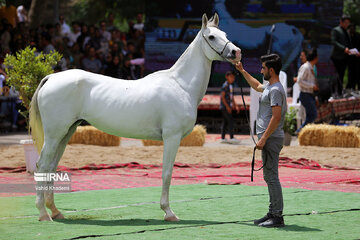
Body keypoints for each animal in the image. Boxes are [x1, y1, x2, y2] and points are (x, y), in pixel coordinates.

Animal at [29, 14, 240, 222]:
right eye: (211, 36)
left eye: (224, 34)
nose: (236, 52)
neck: (180, 85)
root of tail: (51, 78)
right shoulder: (172, 137)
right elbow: (167, 173)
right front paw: (168, 212)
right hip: (54, 135)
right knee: (42, 166)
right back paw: (43, 213)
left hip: (66, 133)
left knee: (52, 167)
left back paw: (55, 211)